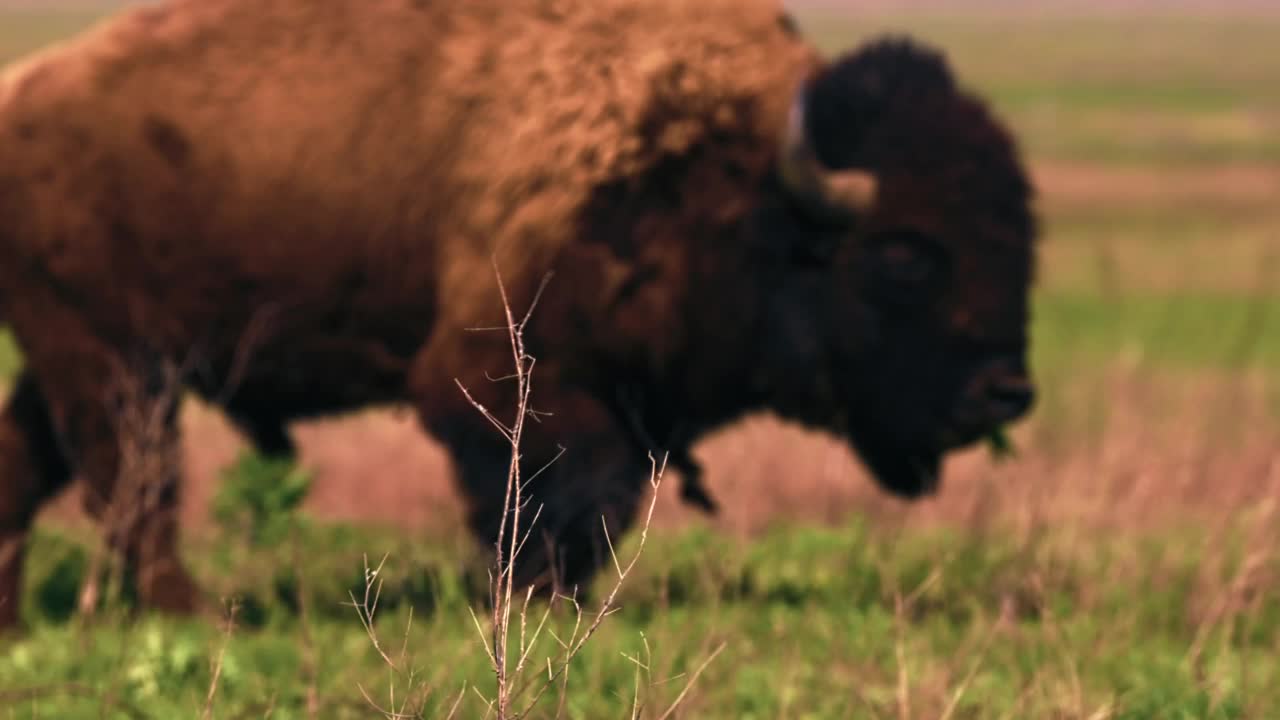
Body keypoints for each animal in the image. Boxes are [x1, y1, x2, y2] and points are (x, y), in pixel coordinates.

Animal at [0, 0, 1039, 625]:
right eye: (905, 254)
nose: (1007, 393)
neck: (735, 183)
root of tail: (23, 95)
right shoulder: (507, 378)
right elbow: (562, 488)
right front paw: (540, 603)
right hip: (116, 359)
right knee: (131, 478)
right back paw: (193, 610)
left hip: (76, 358)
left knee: (35, 461)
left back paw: (18, 616)